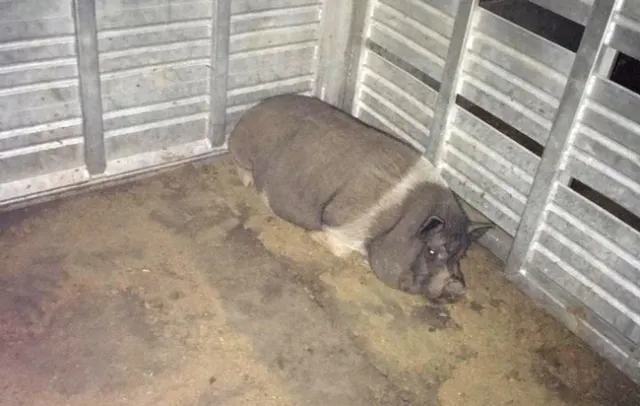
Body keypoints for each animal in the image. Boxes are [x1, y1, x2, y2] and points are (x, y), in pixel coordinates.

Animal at [227, 94, 493, 303]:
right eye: (430, 251)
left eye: (461, 255)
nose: (455, 286)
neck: (399, 220)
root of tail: (255, 108)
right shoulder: (343, 220)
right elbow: (340, 248)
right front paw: (313, 236)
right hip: (243, 151)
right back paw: (248, 181)